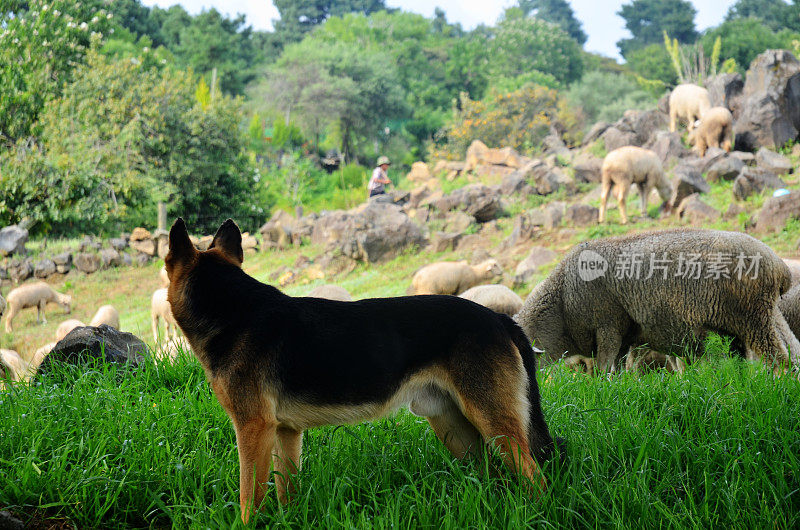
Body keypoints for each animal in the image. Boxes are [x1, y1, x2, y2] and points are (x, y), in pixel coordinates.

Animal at [165, 218, 556, 520]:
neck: (233, 312)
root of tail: (499, 319)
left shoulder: (252, 429)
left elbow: (249, 497)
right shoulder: (285, 433)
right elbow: (285, 490)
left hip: (493, 424)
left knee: (534, 477)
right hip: (455, 429)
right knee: (496, 476)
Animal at [516, 227, 796, 372]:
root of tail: (779, 265)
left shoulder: (607, 323)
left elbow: (606, 364)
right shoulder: (624, 334)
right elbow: (618, 364)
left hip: (752, 316)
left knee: (778, 356)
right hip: (755, 318)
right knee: (783, 350)